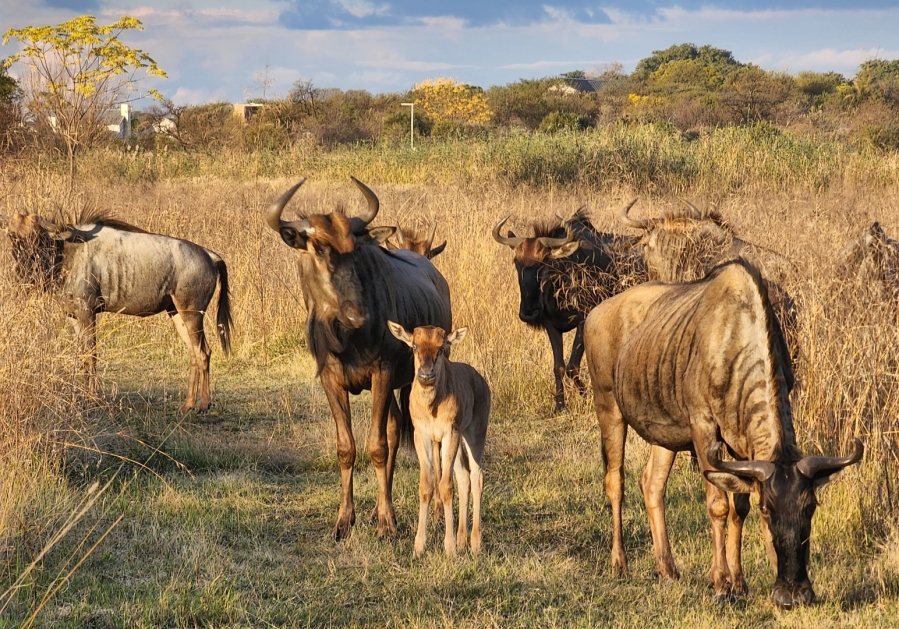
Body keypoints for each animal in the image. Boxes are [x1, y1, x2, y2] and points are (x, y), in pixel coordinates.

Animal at [384, 324, 488, 556]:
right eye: (414, 346)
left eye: (441, 348)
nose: (426, 374)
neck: (432, 405)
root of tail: (479, 379)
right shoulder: (421, 435)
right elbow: (427, 486)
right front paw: (419, 546)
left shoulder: (450, 433)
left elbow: (446, 487)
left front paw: (449, 548)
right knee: (463, 476)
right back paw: (462, 540)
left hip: (474, 433)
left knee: (476, 475)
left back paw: (475, 543)